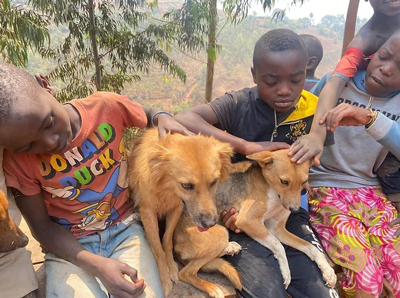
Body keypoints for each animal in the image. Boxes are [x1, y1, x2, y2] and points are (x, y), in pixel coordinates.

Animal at [126, 128, 236, 296]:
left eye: (214, 182)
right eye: (186, 185)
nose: (210, 224)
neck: (166, 188)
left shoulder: (176, 208)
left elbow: (167, 238)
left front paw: (171, 266)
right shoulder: (148, 212)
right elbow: (157, 247)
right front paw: (164, 279)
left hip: (221, 232)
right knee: (186, 273)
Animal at [173, 149, 336, 296]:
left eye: (304, 182)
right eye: (284, 181)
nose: (295, 209)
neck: (273, 192)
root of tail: (175, 244)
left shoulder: (277, 229)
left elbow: (310, 247)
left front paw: (328, 271)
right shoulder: (247, 220)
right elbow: (278, 245)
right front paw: (286, 272)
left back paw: (230, 248)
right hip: (220, 233)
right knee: (185, 273)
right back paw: (213, 288)